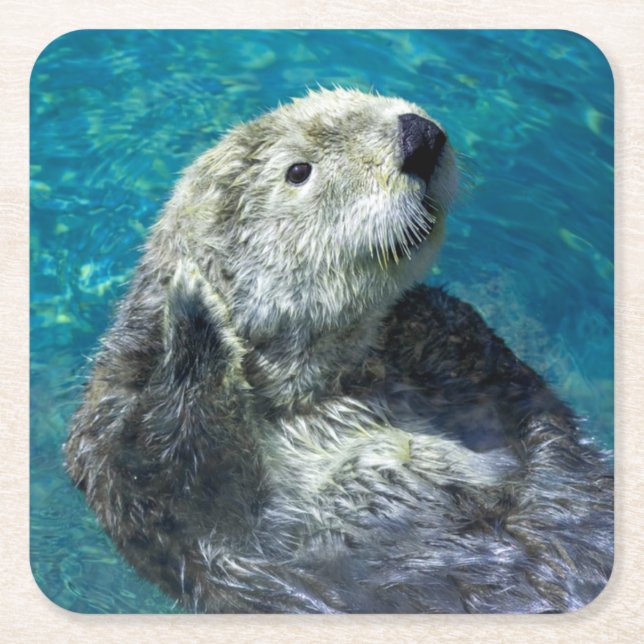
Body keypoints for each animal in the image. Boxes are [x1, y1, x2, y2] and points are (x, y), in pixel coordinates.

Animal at [66, 88, 613, 613]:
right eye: (298, 171)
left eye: (368, 96)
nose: (419, 135)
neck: (325, 388)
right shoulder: (123, 454)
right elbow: (179, 478)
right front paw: (193, 308)